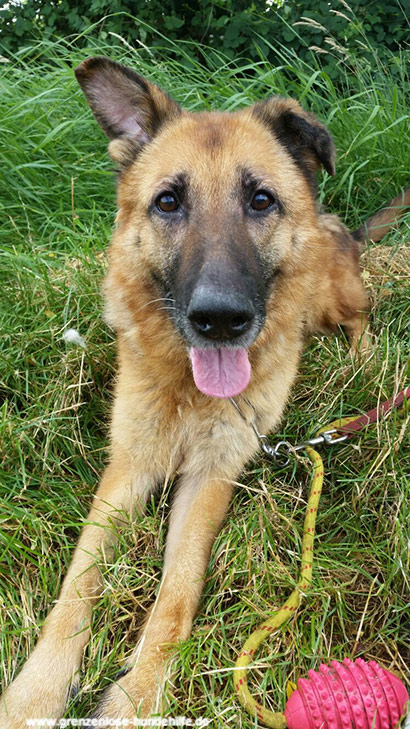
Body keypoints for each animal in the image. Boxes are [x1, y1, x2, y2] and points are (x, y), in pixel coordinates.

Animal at [1, 57, 409, 728]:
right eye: (168, 201)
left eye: (261, 200)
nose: (220, 320)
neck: (187, 392)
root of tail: (334, 224)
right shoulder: (129, 467)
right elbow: (77, 587)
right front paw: (36, 693)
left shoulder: (212, 475)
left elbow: (176, 593)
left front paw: (136, 698)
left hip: (332, 297)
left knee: (360, 319)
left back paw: (361, 360)